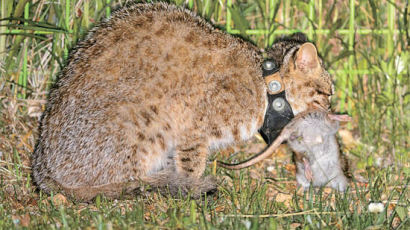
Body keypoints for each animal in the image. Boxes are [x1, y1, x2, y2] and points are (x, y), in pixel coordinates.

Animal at [31, 2, 334, 201]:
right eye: (328, 94)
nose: (332, 113)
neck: (266, 85)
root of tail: (43, 170)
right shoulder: (192, 130)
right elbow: (191, 165)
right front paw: (191, 191)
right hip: (148, 122)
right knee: (128, 180)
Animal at [218, 110, 350, 191]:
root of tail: (288, 128)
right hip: (315, 120)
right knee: (329, 117)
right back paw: (344, 117)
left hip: (300, 143)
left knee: (302, 153)